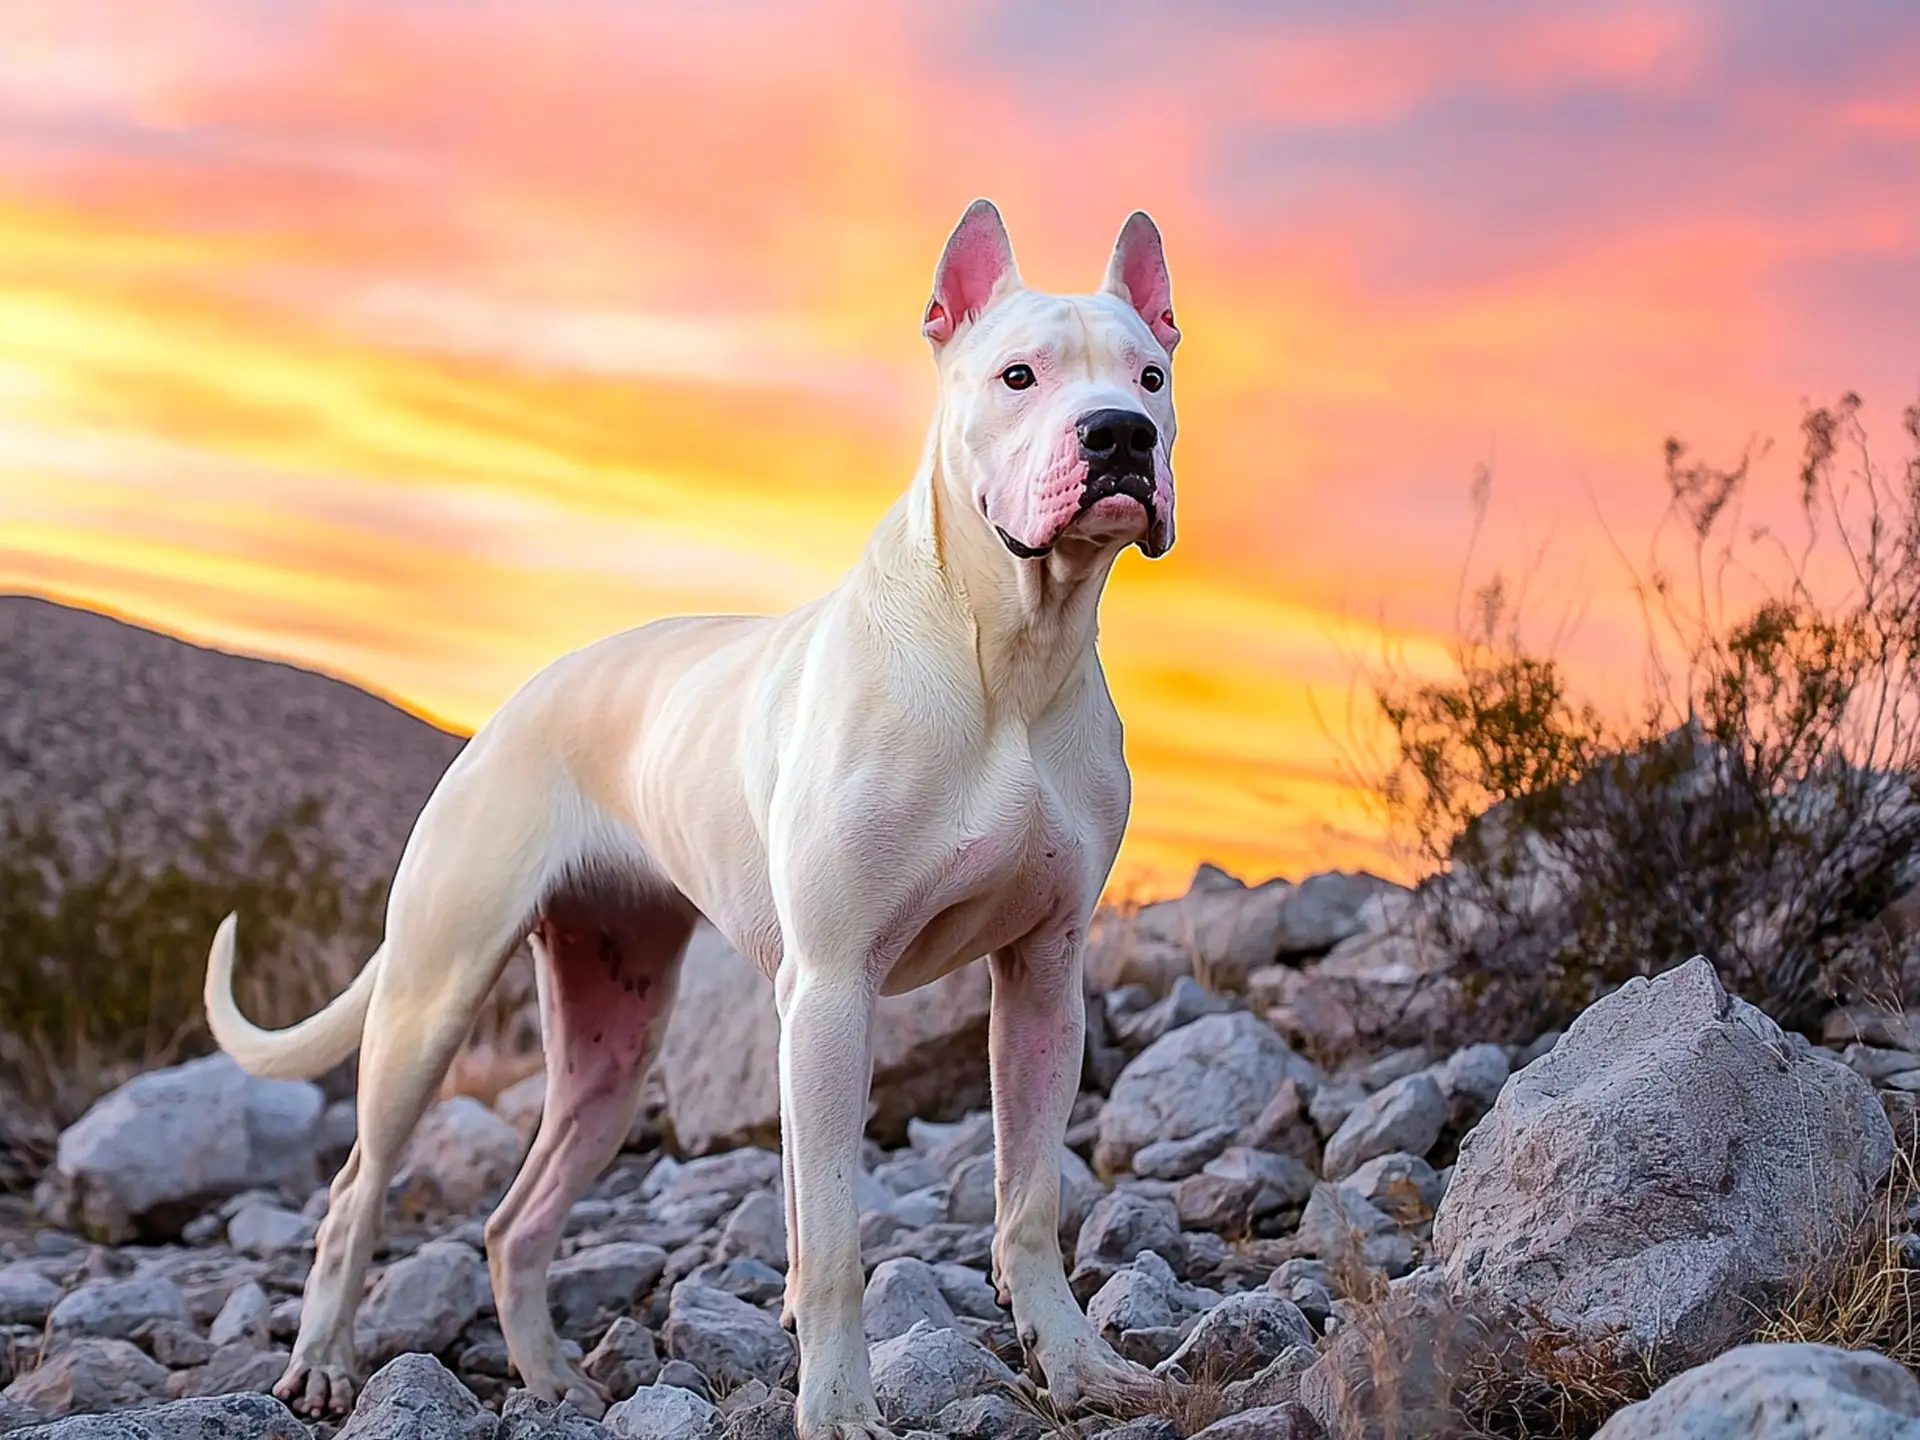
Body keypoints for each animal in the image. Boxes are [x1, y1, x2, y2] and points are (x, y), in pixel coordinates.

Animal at [202, 200, 1175, 1440]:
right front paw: (839, 1407)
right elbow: (835, 1239)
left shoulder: (1043, 978)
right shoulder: (832, 989)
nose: (1120, 437)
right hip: (432, 997)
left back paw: (552, 1377)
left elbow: (1030, 1203)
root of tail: (506, 708)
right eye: (1019, 376)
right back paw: (326, 1361)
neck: (1009, 649)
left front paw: (1078, 1363)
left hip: (612, 1047)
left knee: (513, 1220)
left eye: (1151, 376)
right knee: (354, 1188)